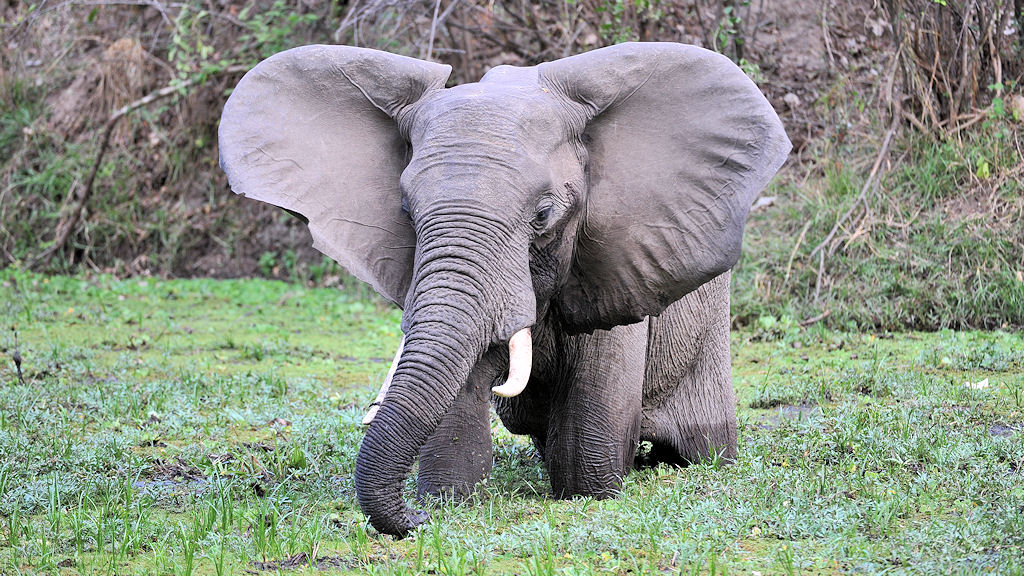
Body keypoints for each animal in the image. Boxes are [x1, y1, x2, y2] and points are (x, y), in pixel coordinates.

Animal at [218, 42, 790, 537]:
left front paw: (588, 494)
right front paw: (447, 504)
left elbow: (587, 445)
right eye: (406, 211)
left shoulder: (616, 258)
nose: (414, 519)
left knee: (699, 443)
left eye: (543, 215)